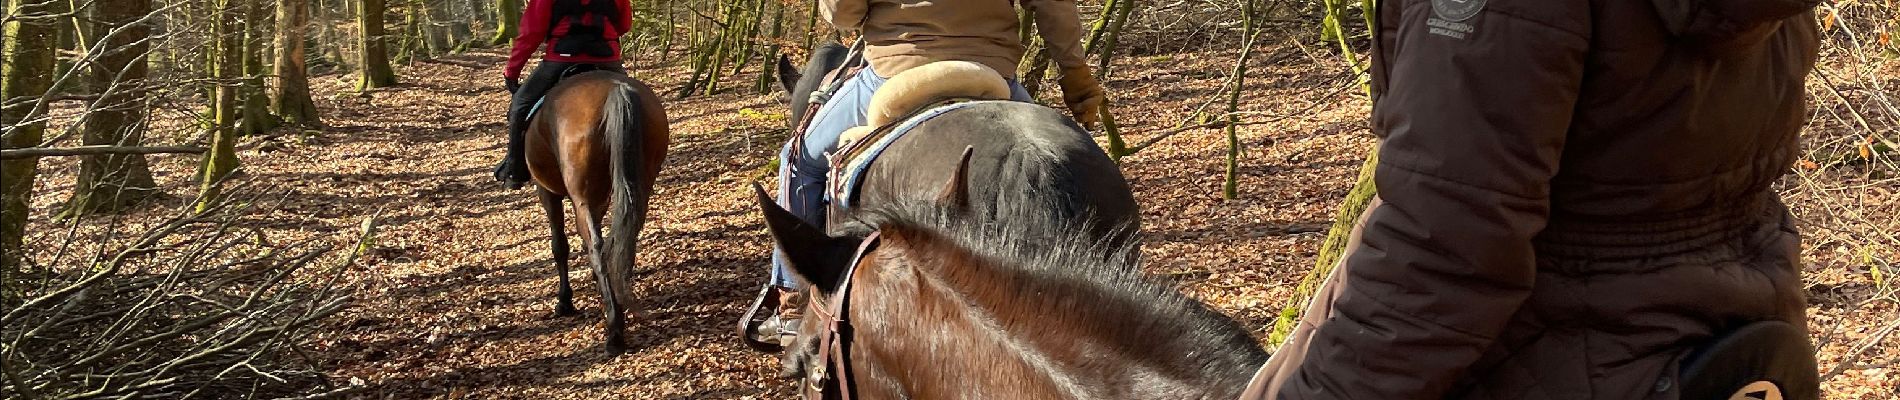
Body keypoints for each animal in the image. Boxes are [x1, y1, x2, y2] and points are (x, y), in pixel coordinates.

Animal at [524, 70, 672, 354]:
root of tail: (616, 90)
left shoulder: (547, 192)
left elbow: (560, 246)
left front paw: (565, 302)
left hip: (581, 197)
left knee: (597, 247)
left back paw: (614, 330)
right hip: (639, 186)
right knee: (623, 239)